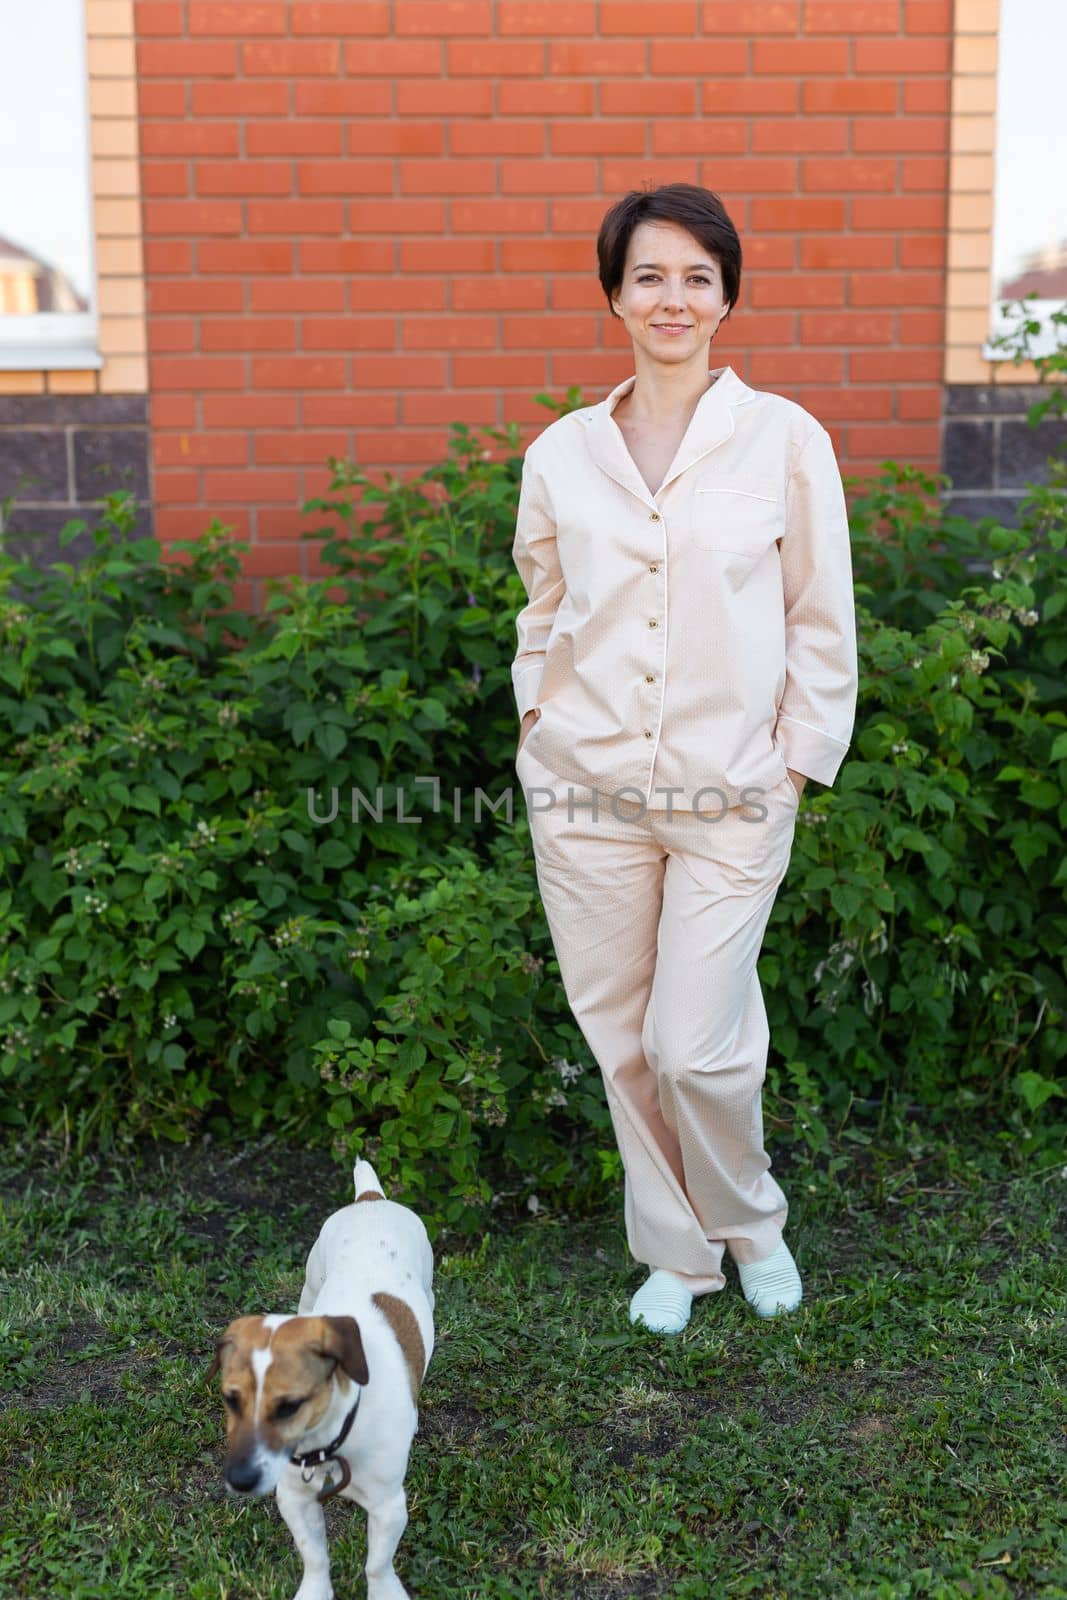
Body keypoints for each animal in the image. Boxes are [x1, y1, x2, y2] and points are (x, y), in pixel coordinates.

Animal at [207, 1164, 435, 1600]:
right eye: (230, 1399)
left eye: (289, 1406)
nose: (240, 1481)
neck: (330, 1441)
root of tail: (370, 1198)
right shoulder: (295, 1498)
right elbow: (314, 1557)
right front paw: (315, 1590)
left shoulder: (388, 1506)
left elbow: (377, 1564)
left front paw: (385, 1591)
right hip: (310, 1286)